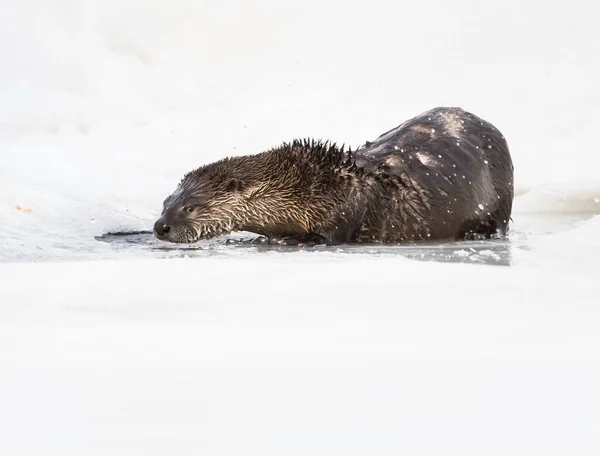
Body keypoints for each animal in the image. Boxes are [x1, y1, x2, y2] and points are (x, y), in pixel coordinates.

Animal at [152, 106, 512, 244]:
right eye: (166, 202)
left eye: (190, 207)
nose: (160, 227)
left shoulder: (347, 207)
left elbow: (329, 235)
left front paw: (293, 240)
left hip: (501, 195)